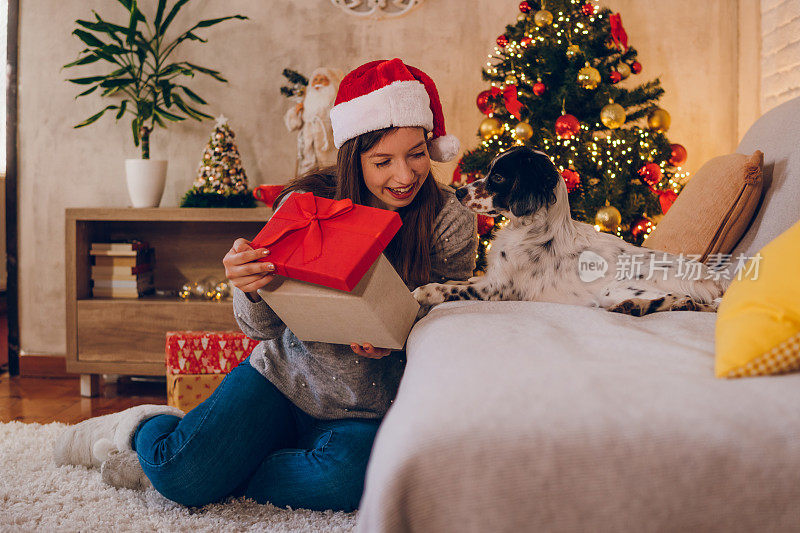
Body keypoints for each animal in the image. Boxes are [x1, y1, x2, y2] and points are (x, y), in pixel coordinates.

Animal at [416, 145, 728, 316]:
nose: (459, 192)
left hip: (615, 288)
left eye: (499, 177)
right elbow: (461, 281)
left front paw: (425, 292)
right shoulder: (491, 278)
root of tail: (715, 279)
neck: (529, 230)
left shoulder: (500, 290)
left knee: (681, 299)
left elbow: (453, 290)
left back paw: (631, 307)